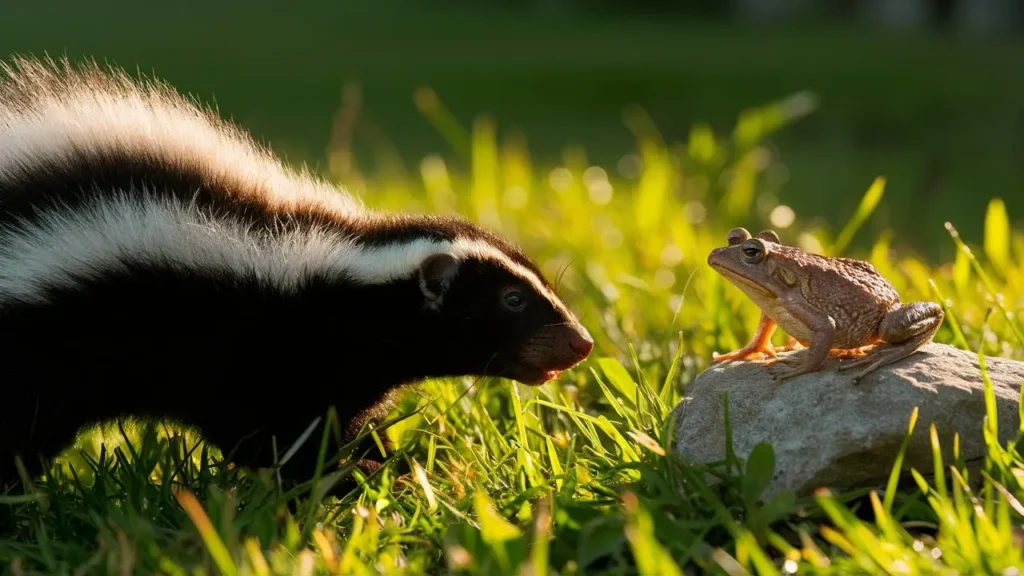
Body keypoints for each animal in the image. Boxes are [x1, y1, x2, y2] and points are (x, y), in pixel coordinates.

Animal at [0, 57, 593, 487]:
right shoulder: (260, 357)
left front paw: (386, 461)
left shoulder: (337, 376)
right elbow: (280, 442)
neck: (340, 273)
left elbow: (343, 423)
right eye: (512, 300)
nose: (581, 342)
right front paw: (349, 477)